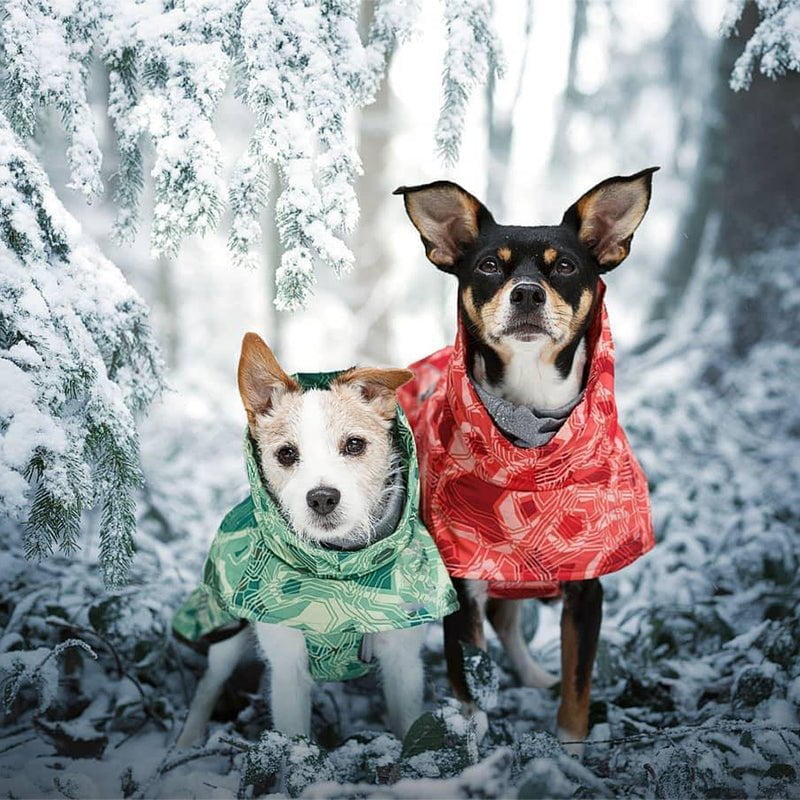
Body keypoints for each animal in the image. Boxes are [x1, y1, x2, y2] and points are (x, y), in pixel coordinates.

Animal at [394, 167, 656, 752]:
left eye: (566, 267)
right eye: (490, 265)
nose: (529, 293)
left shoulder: (585, 587)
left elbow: (578, 686)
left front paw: (570, 752)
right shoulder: (462, 588)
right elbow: (470, 692)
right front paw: (473, 749)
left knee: (509, 619)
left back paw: (535, 676)